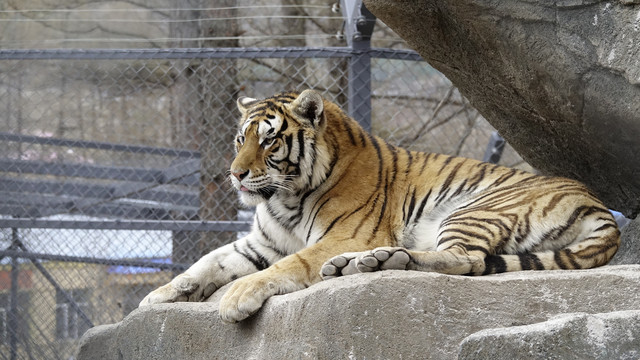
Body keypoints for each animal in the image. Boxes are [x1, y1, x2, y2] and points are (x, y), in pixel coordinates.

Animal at [139, 88, 620, 324]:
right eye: (242, 139)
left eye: (270, 140)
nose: (236, 174)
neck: (286, 197)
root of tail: (596, 203)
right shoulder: (259, 244)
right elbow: (206, 262)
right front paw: (156, 296)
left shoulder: (341, 234)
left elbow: (291, 264)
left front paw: (237, 298)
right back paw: (362, 265)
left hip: (473, 209)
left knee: (466, 261)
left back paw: (371, 261)